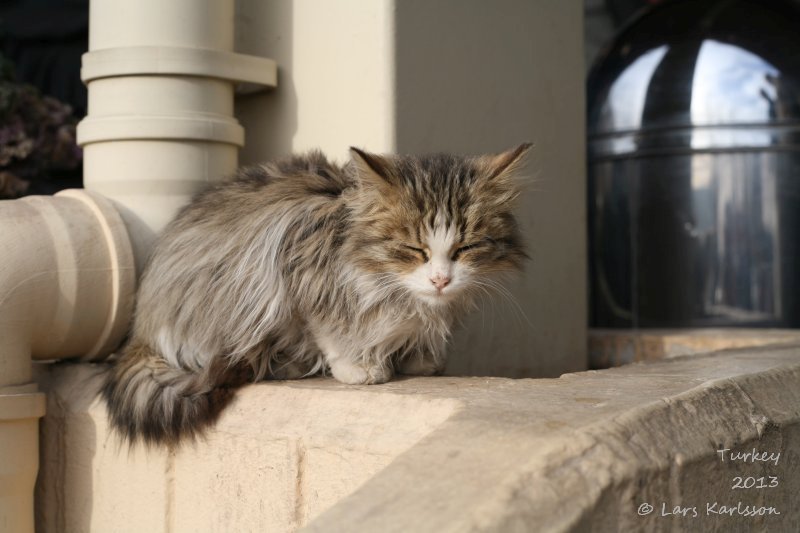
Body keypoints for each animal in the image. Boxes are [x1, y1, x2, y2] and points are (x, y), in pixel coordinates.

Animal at [101, 142, 532, 444]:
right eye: (413, 249)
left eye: (465, 249)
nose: (441, 280)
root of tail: (142, 325)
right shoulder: (297, 270)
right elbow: (329, 330)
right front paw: (359, 367)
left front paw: (418, 359)